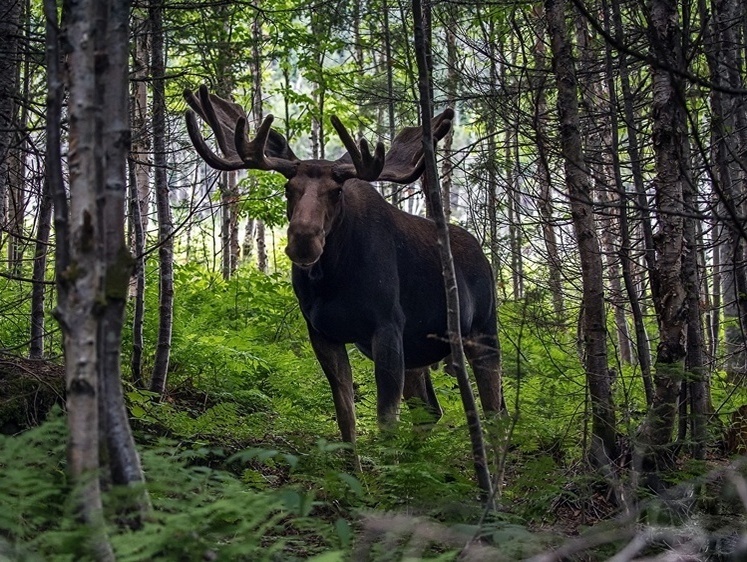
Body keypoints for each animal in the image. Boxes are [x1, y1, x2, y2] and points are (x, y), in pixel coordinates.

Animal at [184, 86, 506, 464]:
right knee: (431, 410)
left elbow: (385, 420)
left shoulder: (387, 327)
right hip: (418, 351)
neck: (333, 279)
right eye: (288, 189)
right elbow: (346, 418)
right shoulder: (323, 333)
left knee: (494, 411)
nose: (303, 239)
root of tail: (483, 256)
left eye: (336, 191)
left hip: (482, 331)